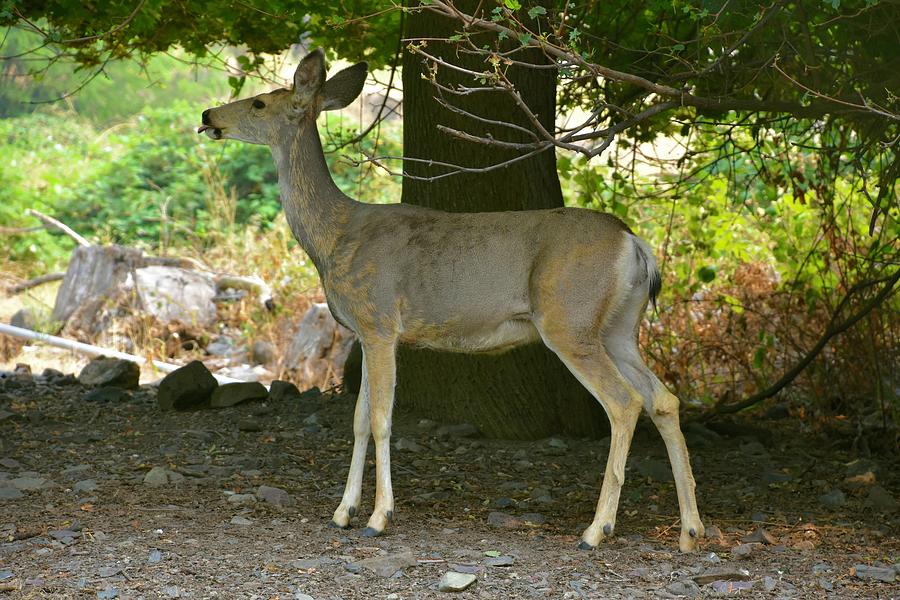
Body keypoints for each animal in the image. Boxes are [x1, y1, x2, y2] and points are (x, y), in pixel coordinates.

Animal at [200, 49, 708, 552]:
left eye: (260, 103)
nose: (208, 116)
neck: (335, 237)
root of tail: (635, 244)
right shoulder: (364, 333)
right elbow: (359, 420)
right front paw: (343, 512)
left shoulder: (379, 320)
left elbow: (382, 419)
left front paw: (378, 517)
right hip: (618, 327)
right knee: (664, 399)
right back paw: (690, 530)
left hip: (569, 319)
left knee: (624, 403)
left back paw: (596, 530)